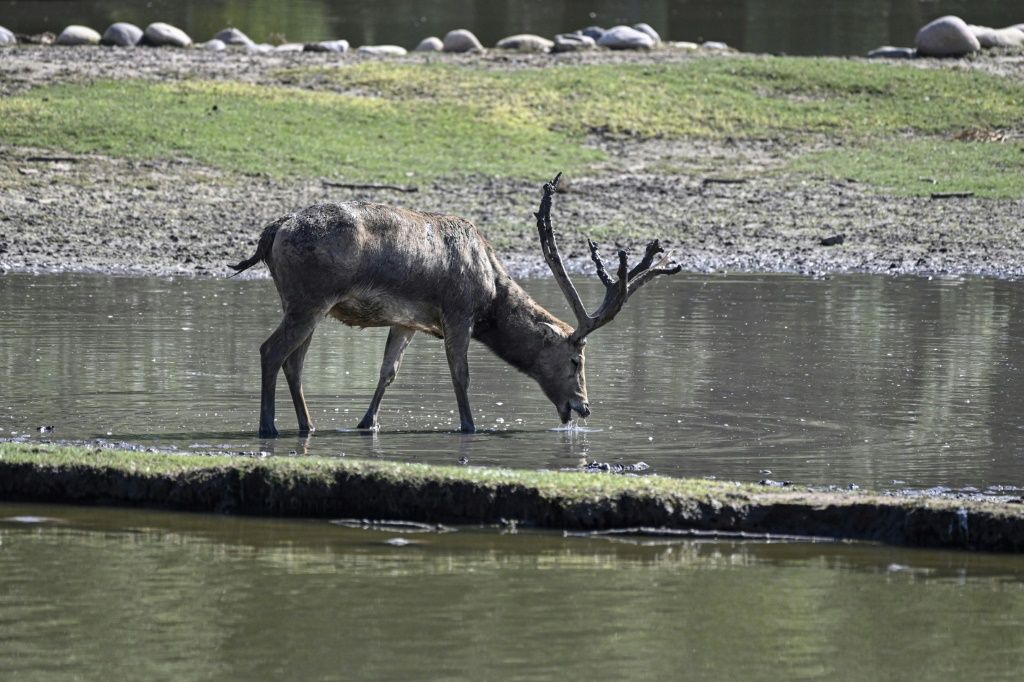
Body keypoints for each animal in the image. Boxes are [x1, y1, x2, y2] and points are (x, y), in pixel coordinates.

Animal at [231, 174, 679, 436]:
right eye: (575, 359)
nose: (582, 408)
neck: (491, 295)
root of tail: (272, 232)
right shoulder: (458, 311)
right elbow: (461, 375)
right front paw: (469, 425)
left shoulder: (406, 321)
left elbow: (388, 372)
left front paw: (367, 423)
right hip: (309, 298)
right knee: (270, 350)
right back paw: (268, 428)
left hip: (303, 303)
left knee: (294, 360)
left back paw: (307, 425)